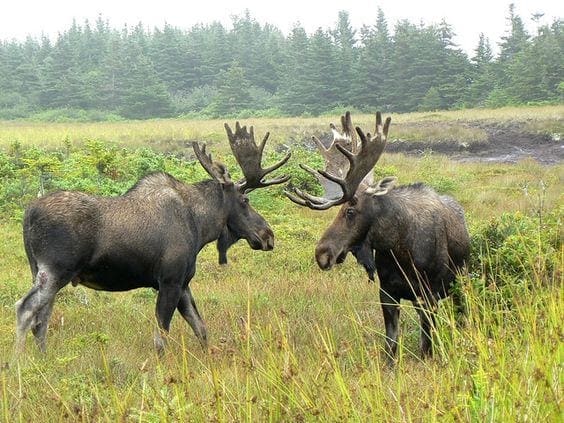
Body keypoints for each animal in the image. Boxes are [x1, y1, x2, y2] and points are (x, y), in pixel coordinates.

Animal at [16, 123, 290, 358]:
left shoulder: (183, 282)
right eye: (245, 201)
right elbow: (161, 337)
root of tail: (28, 215)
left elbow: (201, 328)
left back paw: (44, 359)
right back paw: (16, 363)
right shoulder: (169, 281)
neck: (200, 226)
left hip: (40, 271)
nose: (268, 235)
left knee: (42, 318)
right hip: (56, 270)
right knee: (25, 309)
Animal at [288, 112, 470, 362]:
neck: (399, 247)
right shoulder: (388, 293)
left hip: (462, 283)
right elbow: (390, 346)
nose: (322, 253)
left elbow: (426, 346)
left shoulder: (428, 295)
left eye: (350, 211)